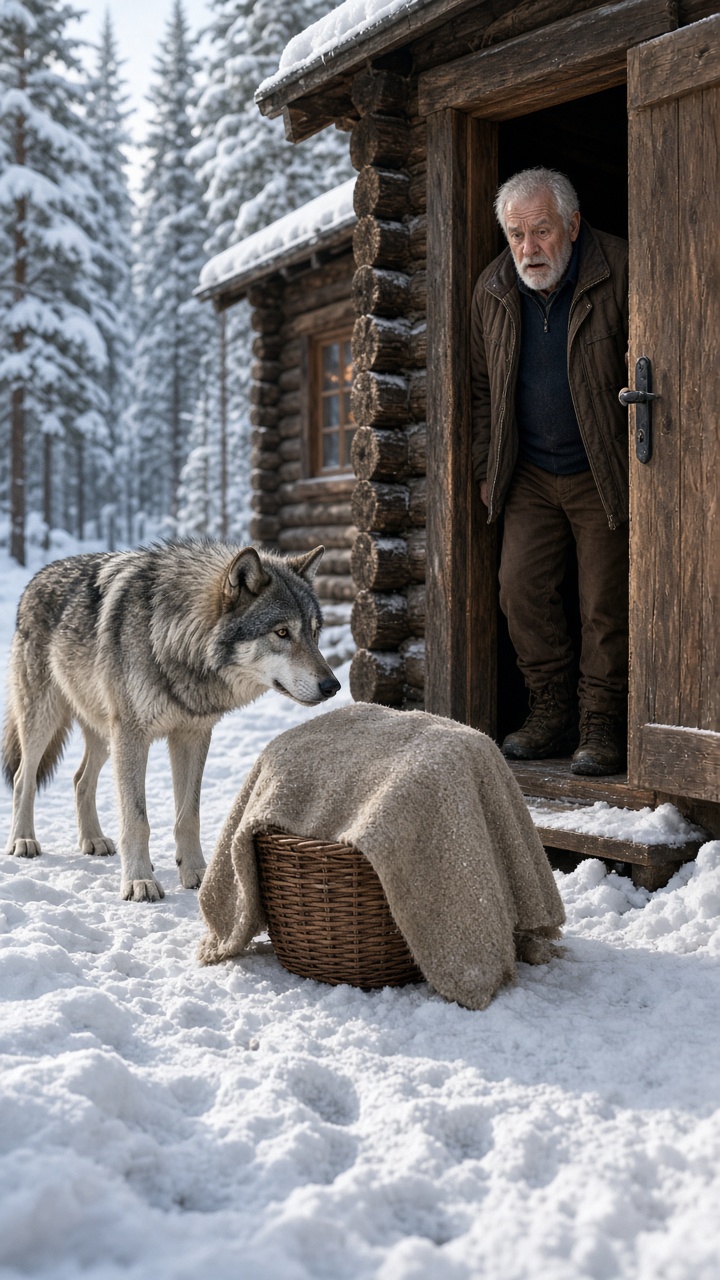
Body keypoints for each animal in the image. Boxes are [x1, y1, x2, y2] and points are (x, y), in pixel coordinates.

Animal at [3, 541, 340, 902]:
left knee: (80, 779)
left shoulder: (192, 735)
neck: (172, 638)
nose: (333, 686)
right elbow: (137, 819)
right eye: (282, 632)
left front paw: (196, 874)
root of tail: (40, 575)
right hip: (45, 719)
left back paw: (92, 839)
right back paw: (22, 840)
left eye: (314, 634)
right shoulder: (132, 735)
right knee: (24, 777)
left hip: (105, 735)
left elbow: (189, 816)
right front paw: (139, 881)